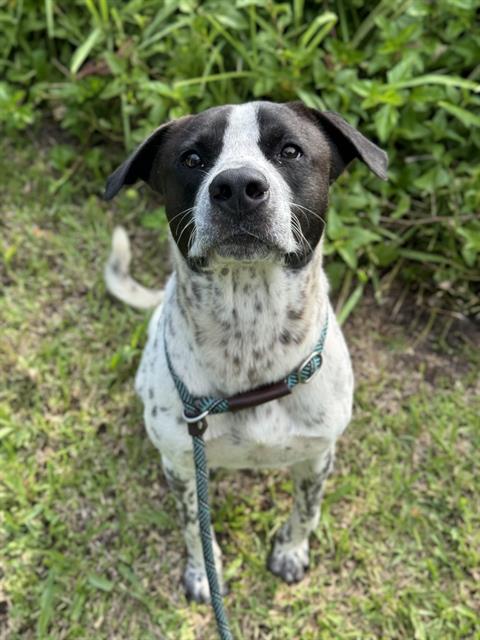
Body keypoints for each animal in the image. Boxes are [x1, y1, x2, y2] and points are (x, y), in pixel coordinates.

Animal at [104, 102, 386, 604]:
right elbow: (194, 526)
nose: (236, 187)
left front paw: (291, 551)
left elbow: (307, 510)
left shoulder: (318, 454)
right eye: (192, 159)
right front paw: (204, 573)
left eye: (290, 150)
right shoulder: (183, 465)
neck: (250, 335)